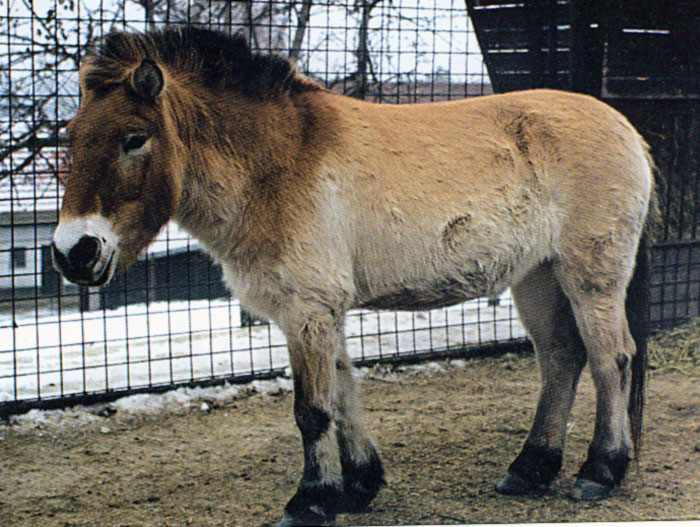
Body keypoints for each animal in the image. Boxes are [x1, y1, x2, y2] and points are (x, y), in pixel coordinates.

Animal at [53, 27, 656, 527]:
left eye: (134, 137)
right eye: (72, 136)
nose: (73, 252)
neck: (277, 164)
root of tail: (626, 129)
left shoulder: (307, 310)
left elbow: (312, 410)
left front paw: (311, 501)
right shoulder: (319, 313)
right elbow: (342, 394)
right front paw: (360, 485)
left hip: (590, 276)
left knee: (612, 359)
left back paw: (600, 471)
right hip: (535, 276)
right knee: (560, 358)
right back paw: (530, 468)